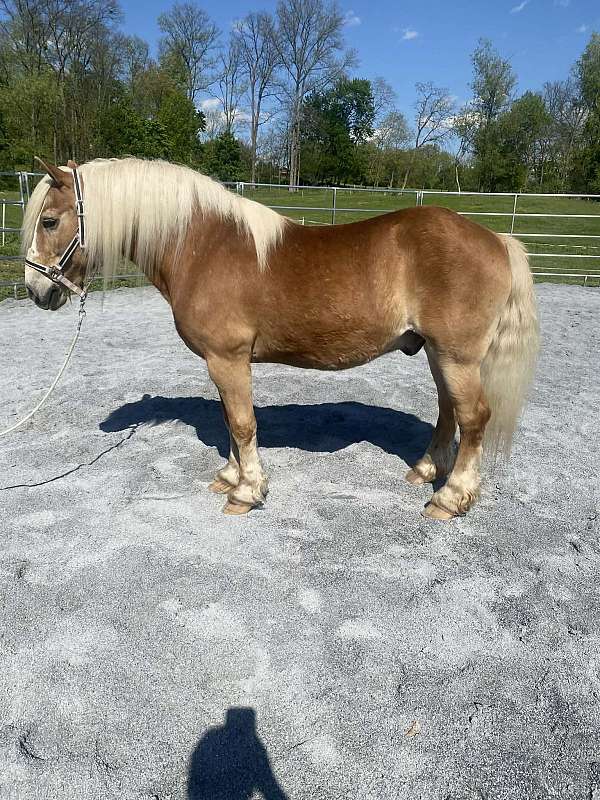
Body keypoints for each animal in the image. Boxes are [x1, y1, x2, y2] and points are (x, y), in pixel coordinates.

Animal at [22, 157, 539, 520]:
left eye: (49, 221)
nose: (35, 290)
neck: (202, 246)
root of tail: (496, 239)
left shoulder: (227, 358)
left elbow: (242, 424)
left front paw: (247, 492)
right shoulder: (222, 362)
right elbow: (230, 421)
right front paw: (230, 477)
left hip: (456, 356)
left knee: (474, 417)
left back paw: (449, 498)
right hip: (439, 353)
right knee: (449, 412)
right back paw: (426, 471)